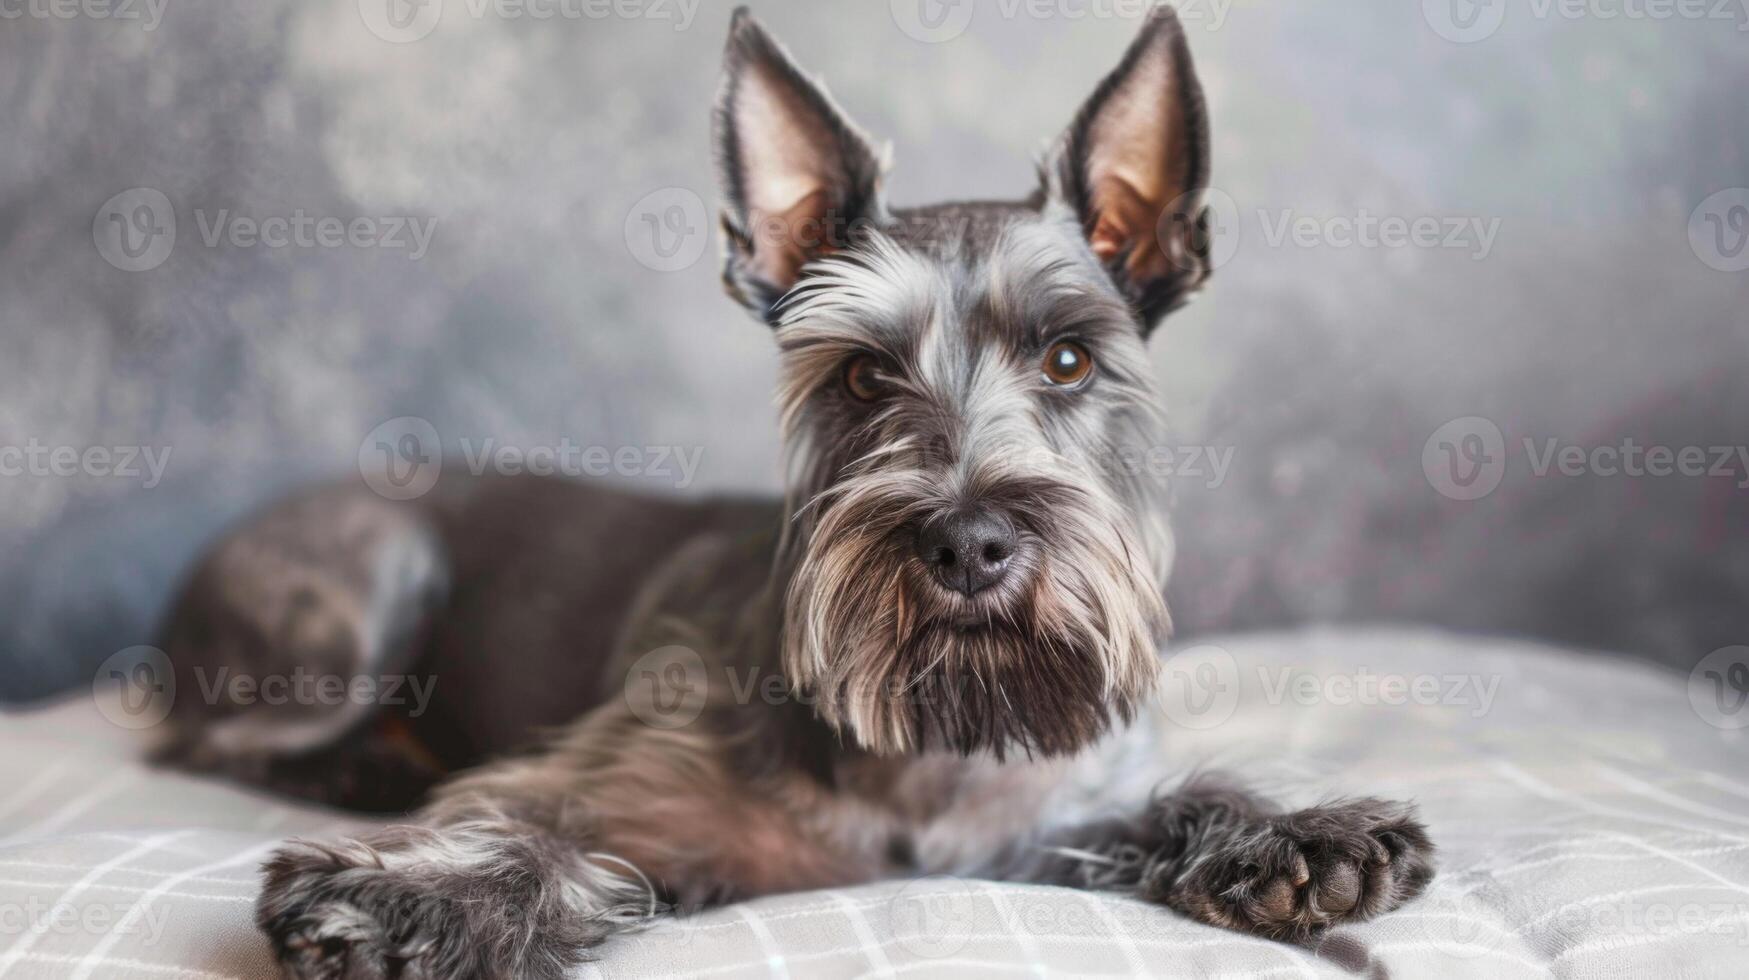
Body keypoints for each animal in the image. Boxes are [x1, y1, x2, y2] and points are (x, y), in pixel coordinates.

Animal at [150, 9, 1434, 980]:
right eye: (863, 372)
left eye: (1070, 357)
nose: (969, 542)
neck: (929, 734)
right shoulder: (629, 791)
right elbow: (527, 823)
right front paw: (412, 898)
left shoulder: (1050, 818)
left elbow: (1162, 800)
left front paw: (1296, 833)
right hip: (376, 582)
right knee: (204, 735)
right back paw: (358, 768)